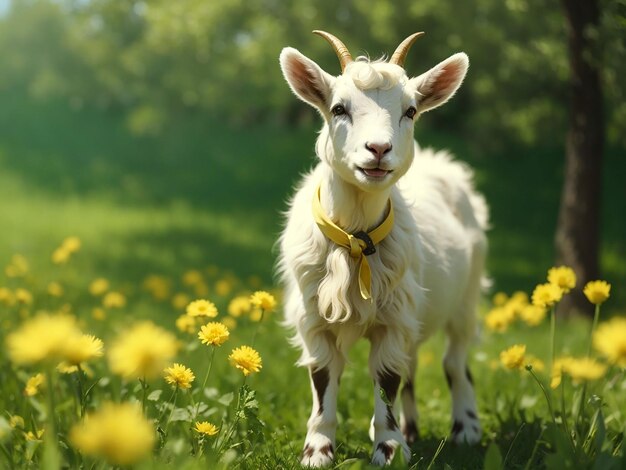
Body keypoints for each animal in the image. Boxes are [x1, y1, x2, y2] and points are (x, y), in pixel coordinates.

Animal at [278, 30, 488, 466]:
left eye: (410, 111)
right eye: (338, 108)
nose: (378, 149)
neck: (356, 239)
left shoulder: (392, 317)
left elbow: (385, 379)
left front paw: (389, 449)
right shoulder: (313, 316)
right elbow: (324, 378)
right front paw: (317, 451)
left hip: (466, 296)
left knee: (455, 362)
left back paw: (466, 428)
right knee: (413, 364)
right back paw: (413, 429)